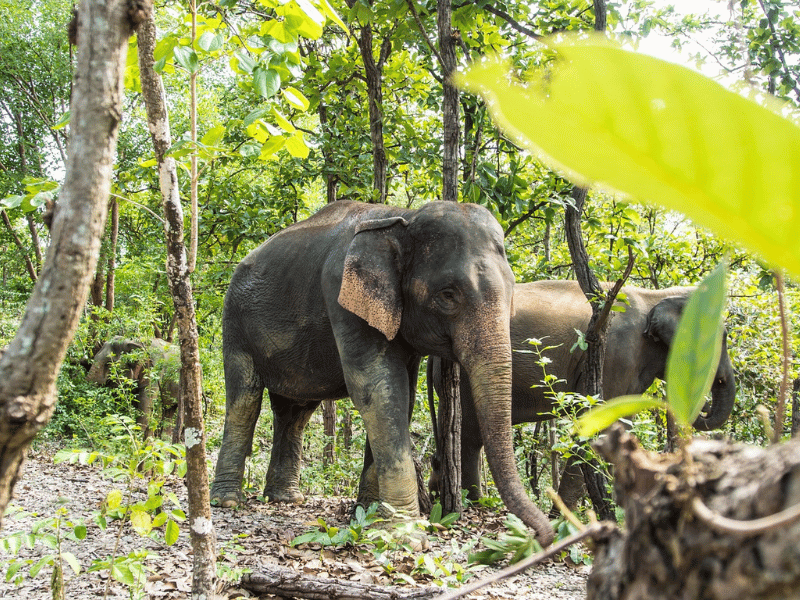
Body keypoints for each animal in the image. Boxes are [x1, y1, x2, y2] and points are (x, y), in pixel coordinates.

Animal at [210, 200, 555, 546]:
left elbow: (403, 396)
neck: (402, 218)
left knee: (295, 412)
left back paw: (286, 499)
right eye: (448, 295)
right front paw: (403, 531)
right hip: (234, 321)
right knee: (245, 399)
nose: (542, 536)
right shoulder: (343, 298)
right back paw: (226, 501)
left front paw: (369, 514)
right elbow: (379, 390)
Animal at [428, 280, 737, 502]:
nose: (705, 404)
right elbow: (601, 423)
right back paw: (474, 503)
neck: (655, 295)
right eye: (722, 337)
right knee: (470, 436)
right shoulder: (616, 354)